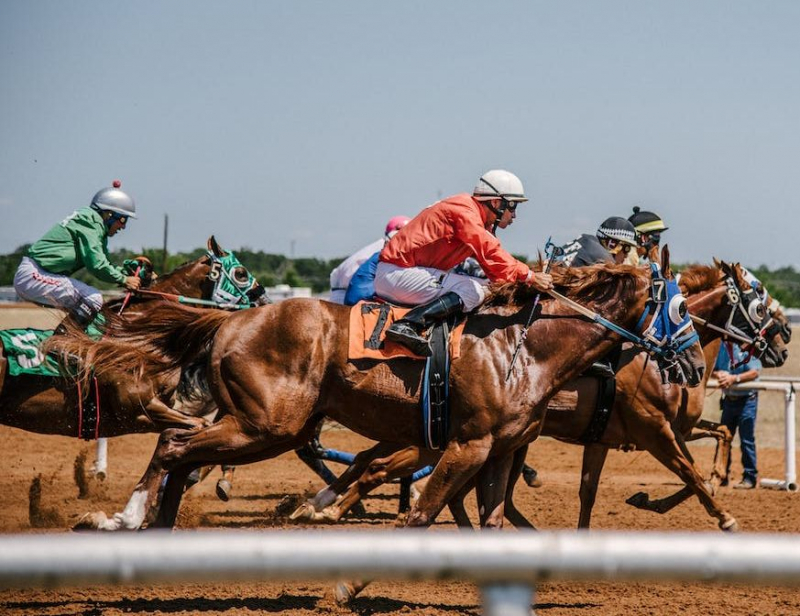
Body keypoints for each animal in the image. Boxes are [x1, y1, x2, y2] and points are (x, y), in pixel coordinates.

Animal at [1, 235, 264, 438]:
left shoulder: (160, 408)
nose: (263, 299)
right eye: (240, 273)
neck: (136, 341)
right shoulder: (138, 410)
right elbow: (199, 424)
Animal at [53, 250, 708, 540]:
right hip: (267, 425)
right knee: (174, 444)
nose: (699, 365)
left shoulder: (498, 452)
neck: (524, 348)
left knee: (182, 447)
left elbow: (491, 519)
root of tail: (232, 319)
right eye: (680, 308)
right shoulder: (467, 446)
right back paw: (125, 516)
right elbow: (420, 510)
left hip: (266, 423)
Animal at [290, 258, 784, 532]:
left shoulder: (613, 437)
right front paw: (722, 514)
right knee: (383, 468)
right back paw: (326, 508)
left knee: (381, 466)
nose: (781, 347)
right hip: (438, 438)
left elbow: (593, 490)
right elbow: (692, 474)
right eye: (761, 305)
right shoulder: (653, 429)